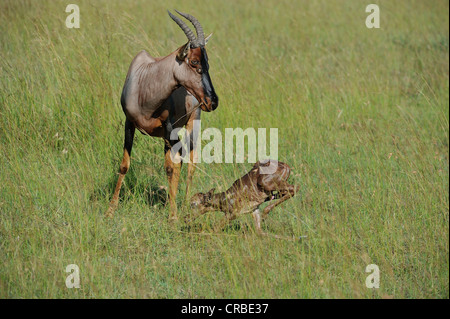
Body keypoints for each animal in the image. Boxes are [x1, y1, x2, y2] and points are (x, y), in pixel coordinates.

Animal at [105, 10, 218, 220]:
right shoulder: (129, 123)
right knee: (180, 160)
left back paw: (183, 206)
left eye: (207, 62)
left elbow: (169, 168)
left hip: (192, 124)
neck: (146, 81)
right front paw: (110, 210)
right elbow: (124, 164)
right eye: (194, 61)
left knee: (190, 162)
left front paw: (172, 217)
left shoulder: (168, 127)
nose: (213, 101)